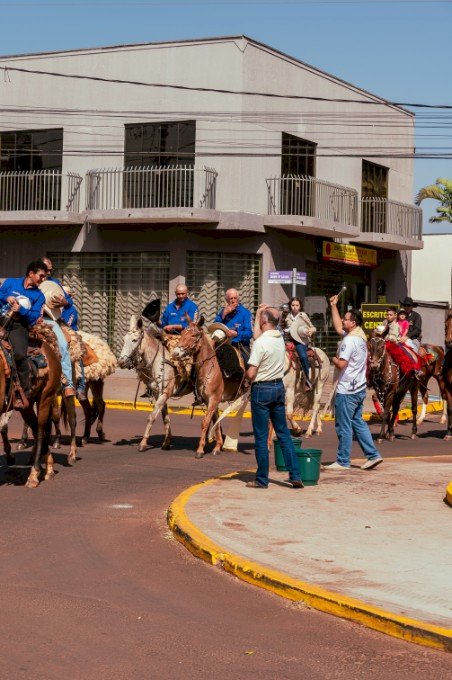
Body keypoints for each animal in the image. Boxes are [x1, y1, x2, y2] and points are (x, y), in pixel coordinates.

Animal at [117, 314, 192, 452]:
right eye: (124, 339)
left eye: (135, 340)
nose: (121, 362)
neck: (159, 361)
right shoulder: (159, 394)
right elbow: (165, 418)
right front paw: (167, 442)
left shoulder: (165, 393)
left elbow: (151, 417)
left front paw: (143, 443)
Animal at [170, 318, 247, 456]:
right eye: (182, 333)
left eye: (194, 335)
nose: (176, 353)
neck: (209, 369)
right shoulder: (208, 401)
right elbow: (215, 422)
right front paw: (217, 447)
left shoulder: (214, 399)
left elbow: (205, 422)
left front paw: (200, 449)